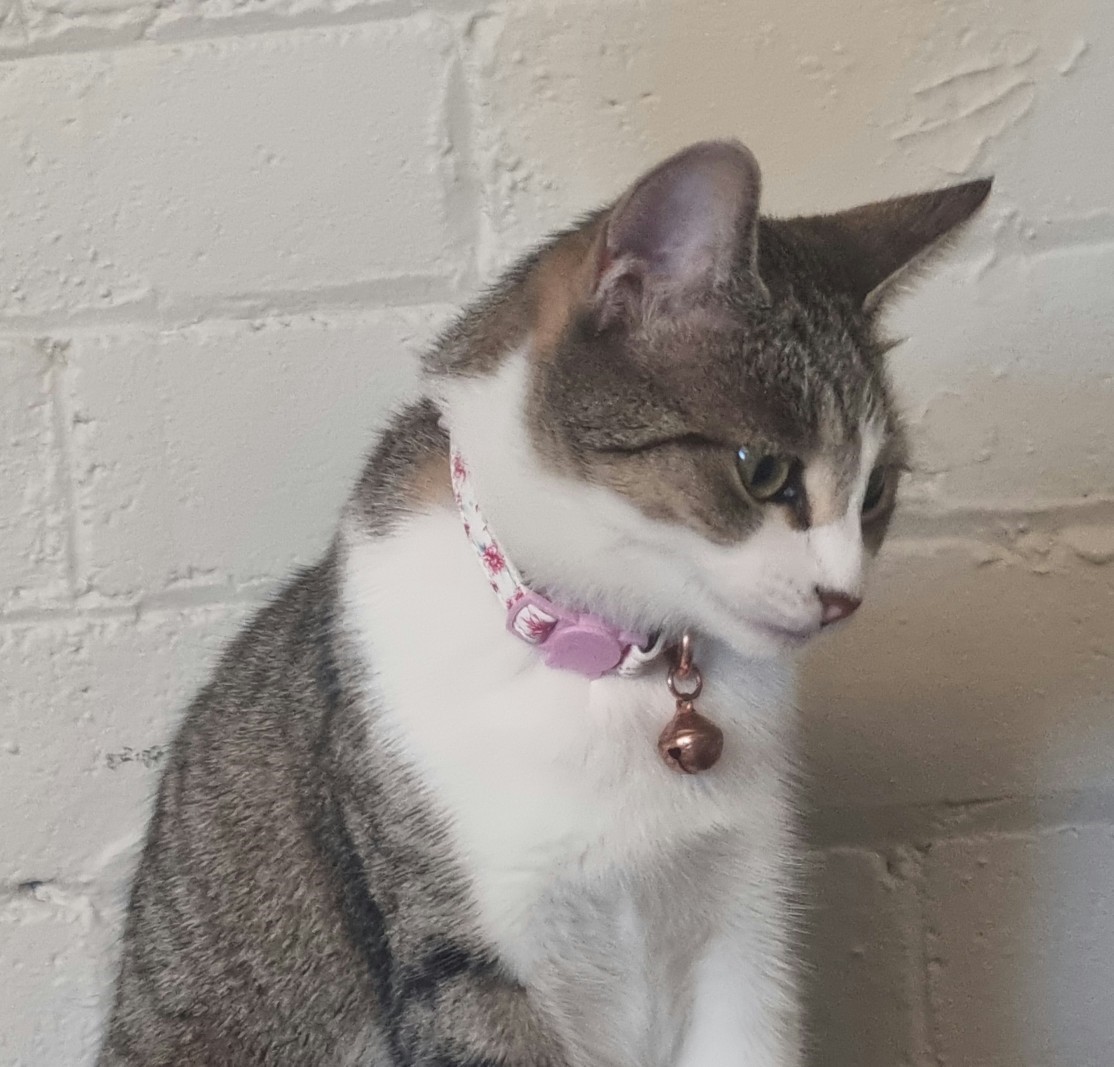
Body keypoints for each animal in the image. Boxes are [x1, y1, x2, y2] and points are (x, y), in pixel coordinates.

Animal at [98, 140, 990, 1066]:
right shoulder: (465, 950)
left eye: (876, 492)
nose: (843, 596)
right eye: (764, 470)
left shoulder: (746, 927)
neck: (608, 666)